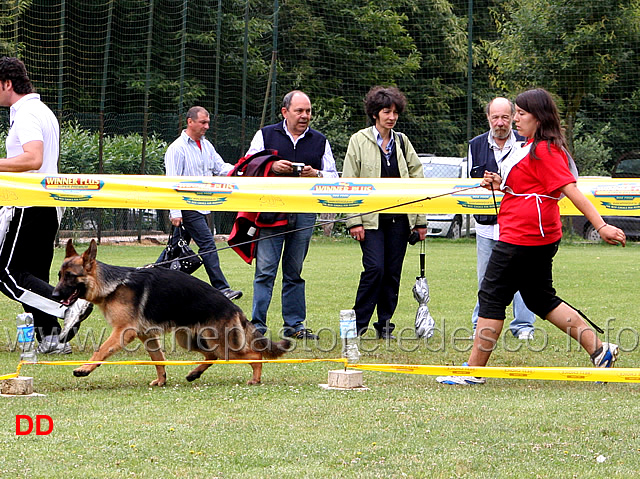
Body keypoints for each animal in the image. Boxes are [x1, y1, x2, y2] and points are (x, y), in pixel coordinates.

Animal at [52, 240, 292, 386]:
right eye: (59, 275)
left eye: (70, 276)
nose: (54, 294)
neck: (112, 285)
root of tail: (235, 308)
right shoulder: (147, 335)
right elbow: (158, 360)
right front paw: (162, 380)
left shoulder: (123, 332)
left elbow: (100, 350)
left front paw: (85, 368)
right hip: (190, 339)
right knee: (212, 356)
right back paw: (195, 373)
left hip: (221, 343)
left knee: (254, 355)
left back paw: (255, 378)